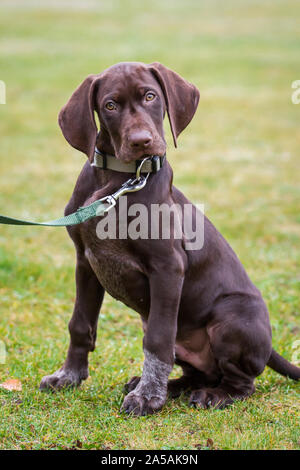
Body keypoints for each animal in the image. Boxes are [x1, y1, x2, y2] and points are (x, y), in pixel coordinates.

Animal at [40, 61, 300, 414]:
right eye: (110, 105)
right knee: (198, 372)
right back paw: (171, 386)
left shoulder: (167, 267)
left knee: (243, 383)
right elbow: (80, 324)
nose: (142, 141)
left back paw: (213, 395)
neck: (120, 180)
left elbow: (158, 341)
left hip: (231, 317)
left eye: (151, 96)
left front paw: (148, 397)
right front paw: (69, 376)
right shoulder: (86, 261)